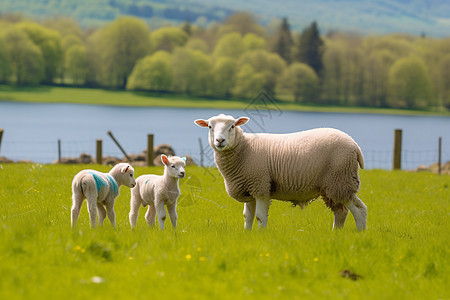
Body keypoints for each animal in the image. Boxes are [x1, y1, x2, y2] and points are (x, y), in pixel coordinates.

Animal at [195, 113, 368, 231]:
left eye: (232, 126)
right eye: (210, 127)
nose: (220, 141)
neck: (244, 148)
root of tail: (354, 144)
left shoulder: (260, 186)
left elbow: (260, 217)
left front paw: (261, 236)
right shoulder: (249, 188)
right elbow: (247, 216)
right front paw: (248, 234)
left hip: (341, 179)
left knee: (360, 209)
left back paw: (360, 234)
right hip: (331, 186)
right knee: (341, 212)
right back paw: (335, 234)